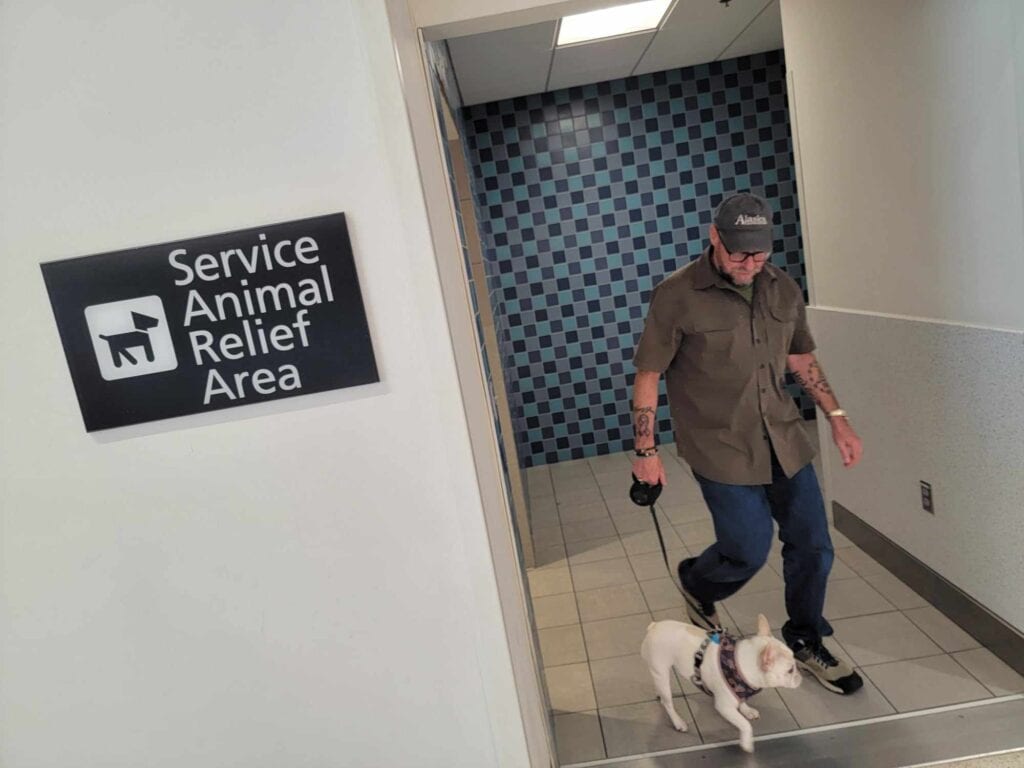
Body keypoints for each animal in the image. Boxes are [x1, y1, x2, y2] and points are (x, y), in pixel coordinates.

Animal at [638, 618, 798, 753]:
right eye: (790, 670)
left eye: (794, 661)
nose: (799, 675)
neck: (741, 663)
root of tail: (654, 626)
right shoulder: (724, 707)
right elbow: (745, 724)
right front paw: (746, 742)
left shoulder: (739, 690)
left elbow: (742, 702)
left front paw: (747, 710)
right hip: (661, 672)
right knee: (668, 703)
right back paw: (678, 722)